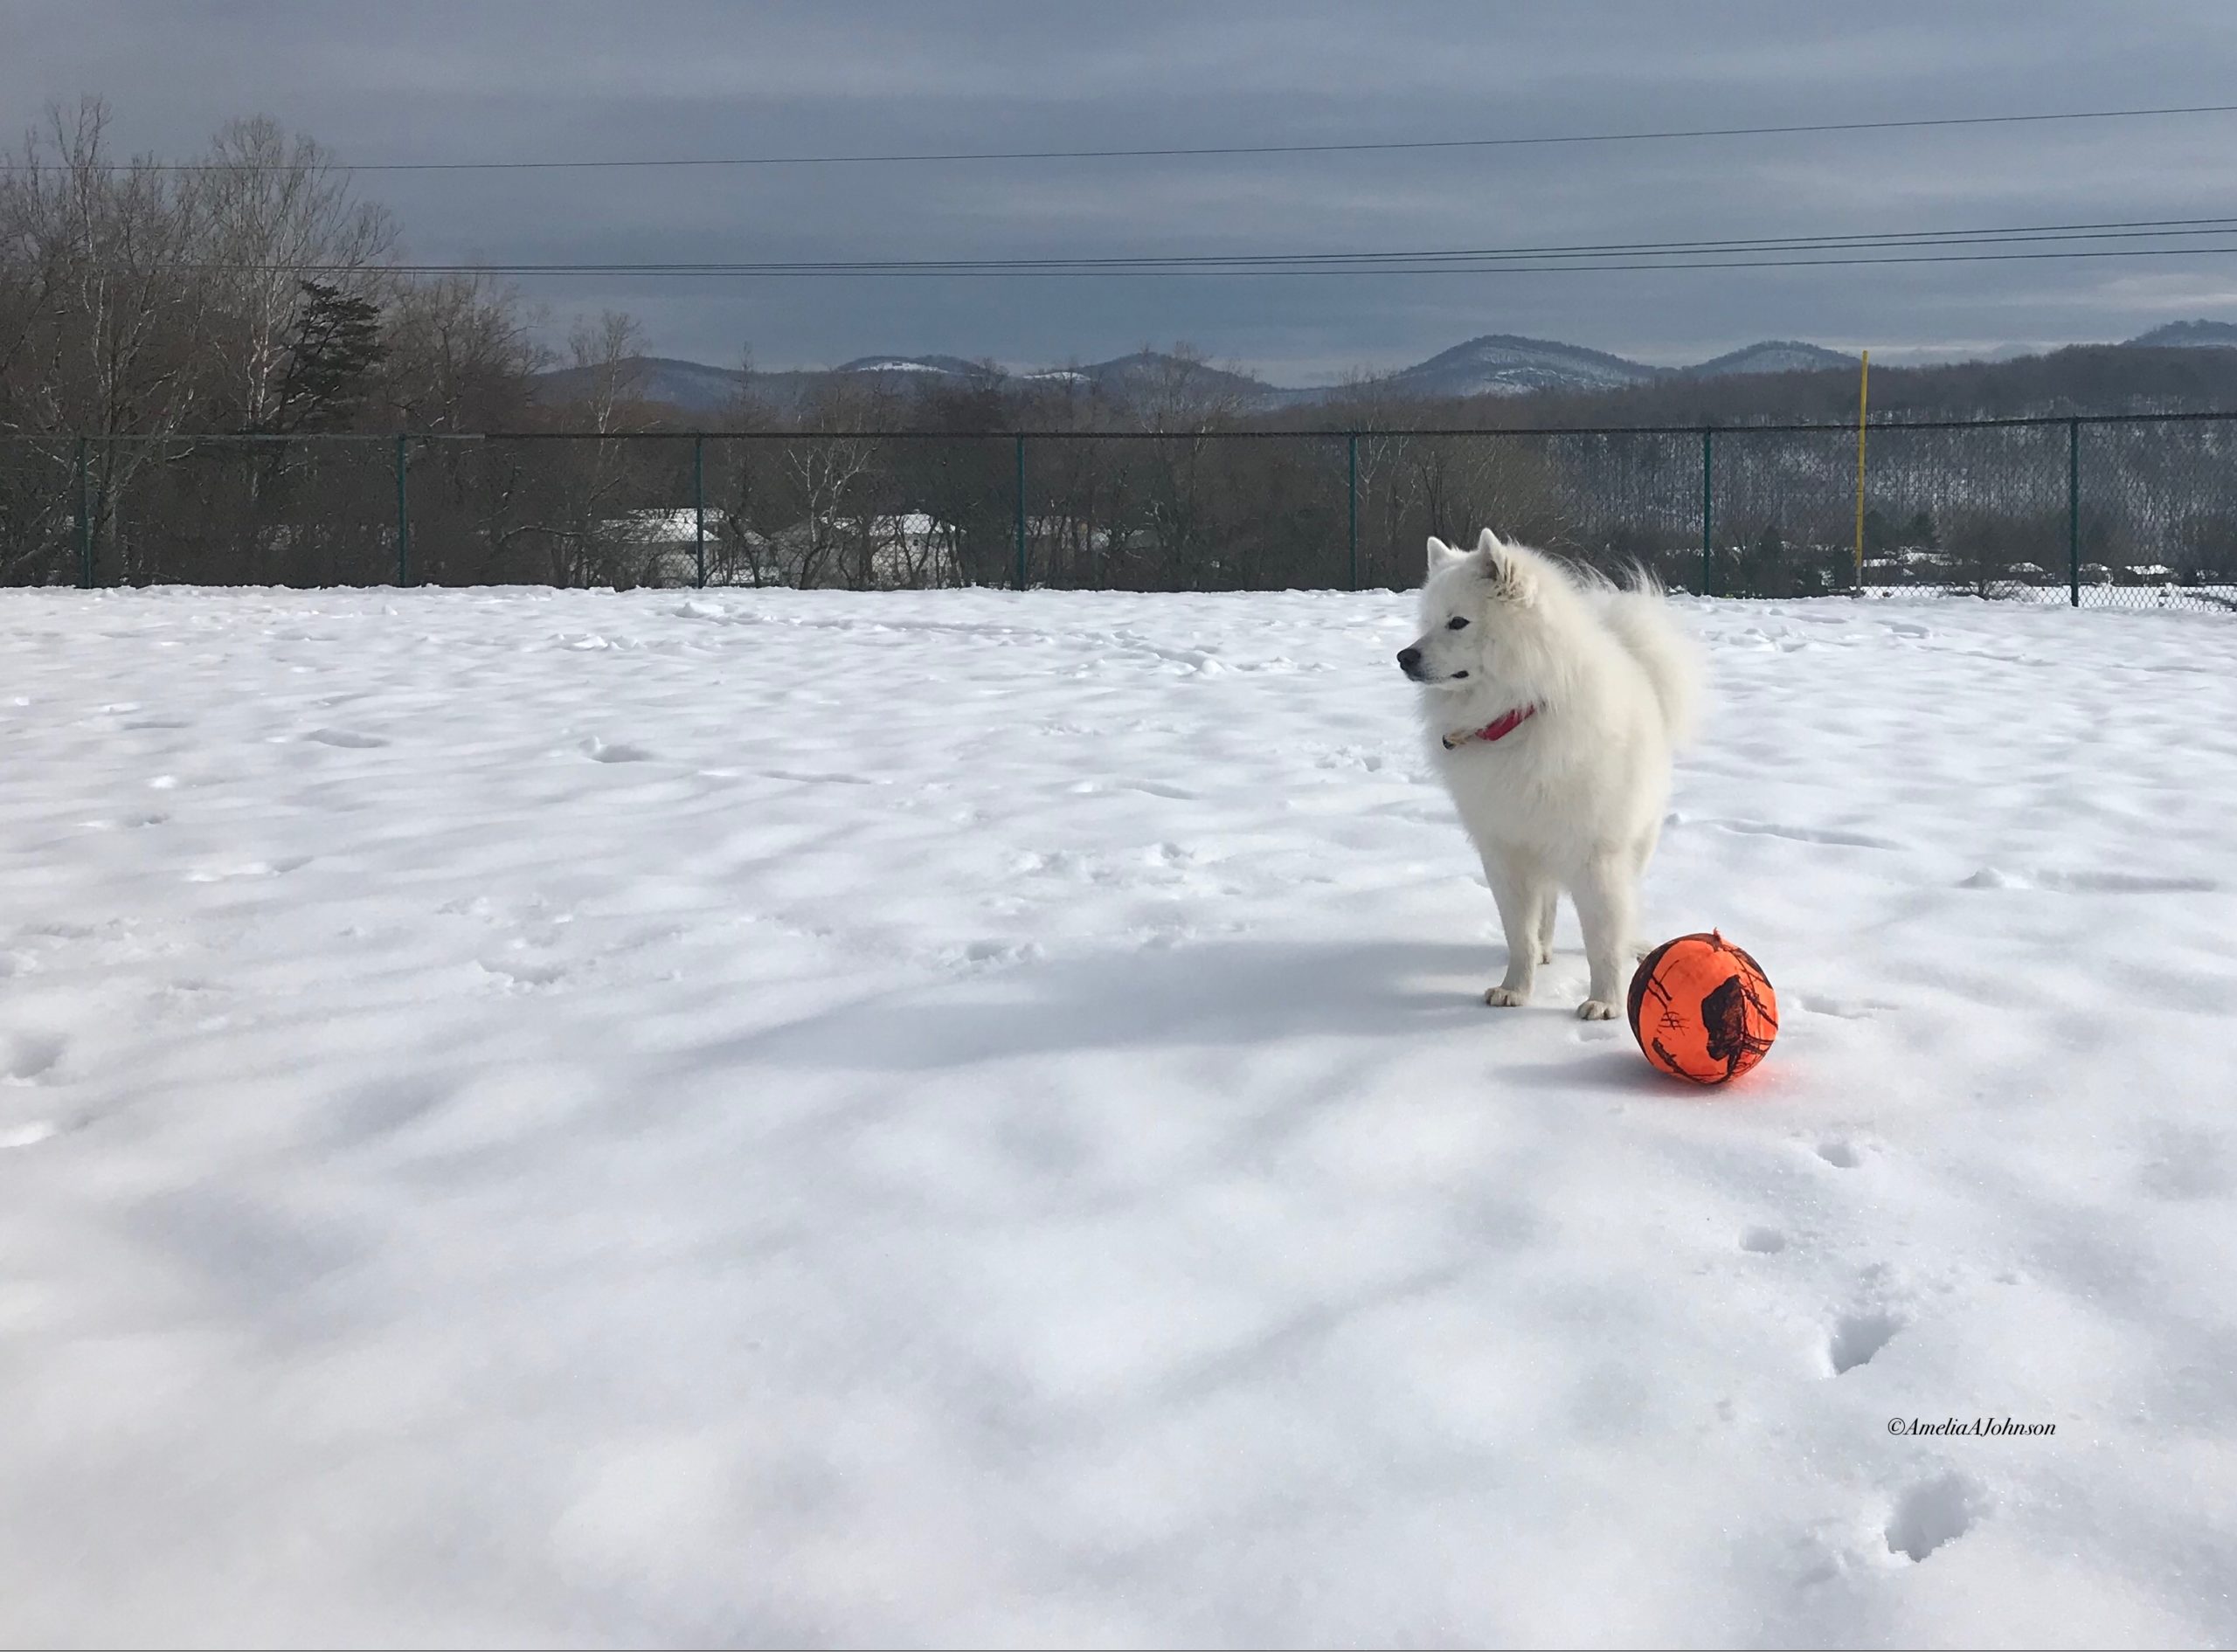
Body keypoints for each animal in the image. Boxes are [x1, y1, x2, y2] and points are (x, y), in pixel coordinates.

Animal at [1396, 529, 1691, 1019]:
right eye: (1427, 621)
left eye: (1458, 622)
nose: (1404, 656)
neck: (1518, 715)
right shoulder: (1505, 851)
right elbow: (1519, 933)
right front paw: (1515, 989)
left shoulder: (1596, 856)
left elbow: (1602, 940)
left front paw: (1605, 1003)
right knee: (1549, 903)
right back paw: (1547, 950)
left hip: (1635, 842)